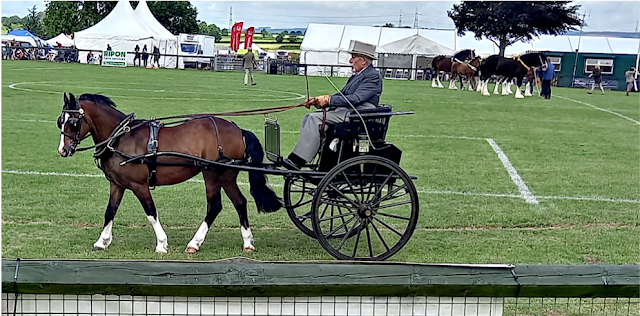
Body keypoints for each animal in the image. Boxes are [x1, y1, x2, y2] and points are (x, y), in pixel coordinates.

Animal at [56, 92, 282, 253]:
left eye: (73, 122)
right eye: (60, 120)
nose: (63, 150)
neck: (121, 137)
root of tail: (237, 129)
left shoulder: (139, 185)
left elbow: (151, 212)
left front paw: (161, 244)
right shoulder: (117, 184)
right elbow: (110, 211)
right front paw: (102, 241)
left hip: (212, 174)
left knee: (214, 206)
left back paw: (194, 243)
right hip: (226, 176)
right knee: (240, 203)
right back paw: (247, 242)